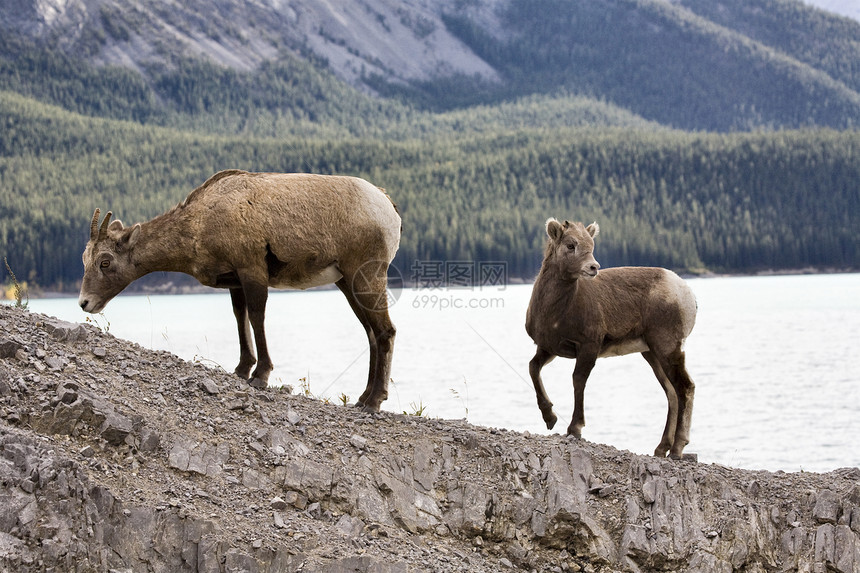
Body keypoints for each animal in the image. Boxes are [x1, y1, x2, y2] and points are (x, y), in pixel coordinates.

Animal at [79, 170, 402, 412]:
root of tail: (390, 209)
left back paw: (374, 402)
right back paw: (362, 398)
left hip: (366, 275)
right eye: (84, 259)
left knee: (385, 330)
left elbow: (257, 318)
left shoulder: (252, 271)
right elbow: (240, 318)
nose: (85, 303)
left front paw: (261, 376)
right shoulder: (234, 281)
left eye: (105, 262)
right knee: (371, 332)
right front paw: (242, 370)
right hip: (346, 282)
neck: (200, 225)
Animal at [524, 217, 700, 458]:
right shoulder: (549, 348)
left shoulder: (589, 346)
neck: (555, 312)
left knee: (685, 388)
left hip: (667, 347)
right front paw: (550, 418)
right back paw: (661, 448)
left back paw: (676, 449)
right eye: (570, 245)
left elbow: (578, 380)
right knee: (671, 393)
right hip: (651, 353)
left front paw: (575, 428)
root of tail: (688, 295)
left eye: (591, 245)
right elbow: (533, 368)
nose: (593, 267)